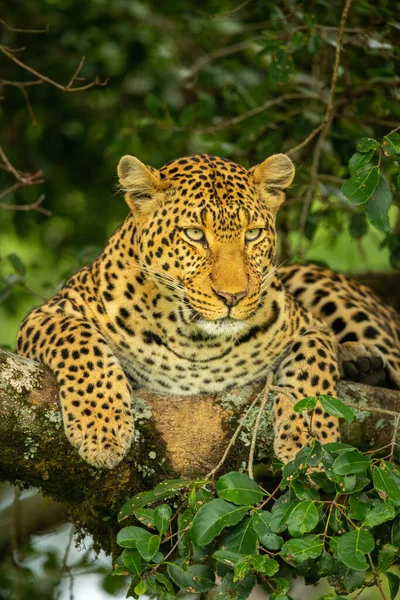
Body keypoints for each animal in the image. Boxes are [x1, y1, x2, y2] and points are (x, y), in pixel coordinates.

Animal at [15, 151, 400, 468]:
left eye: (253, 234)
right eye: (194, 234)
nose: (232, 296)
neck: (195, 340)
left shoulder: (309, 325)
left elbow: (313, 369)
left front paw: (312, 444)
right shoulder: (48, 312)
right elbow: (78, 341)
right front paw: (102, 429)